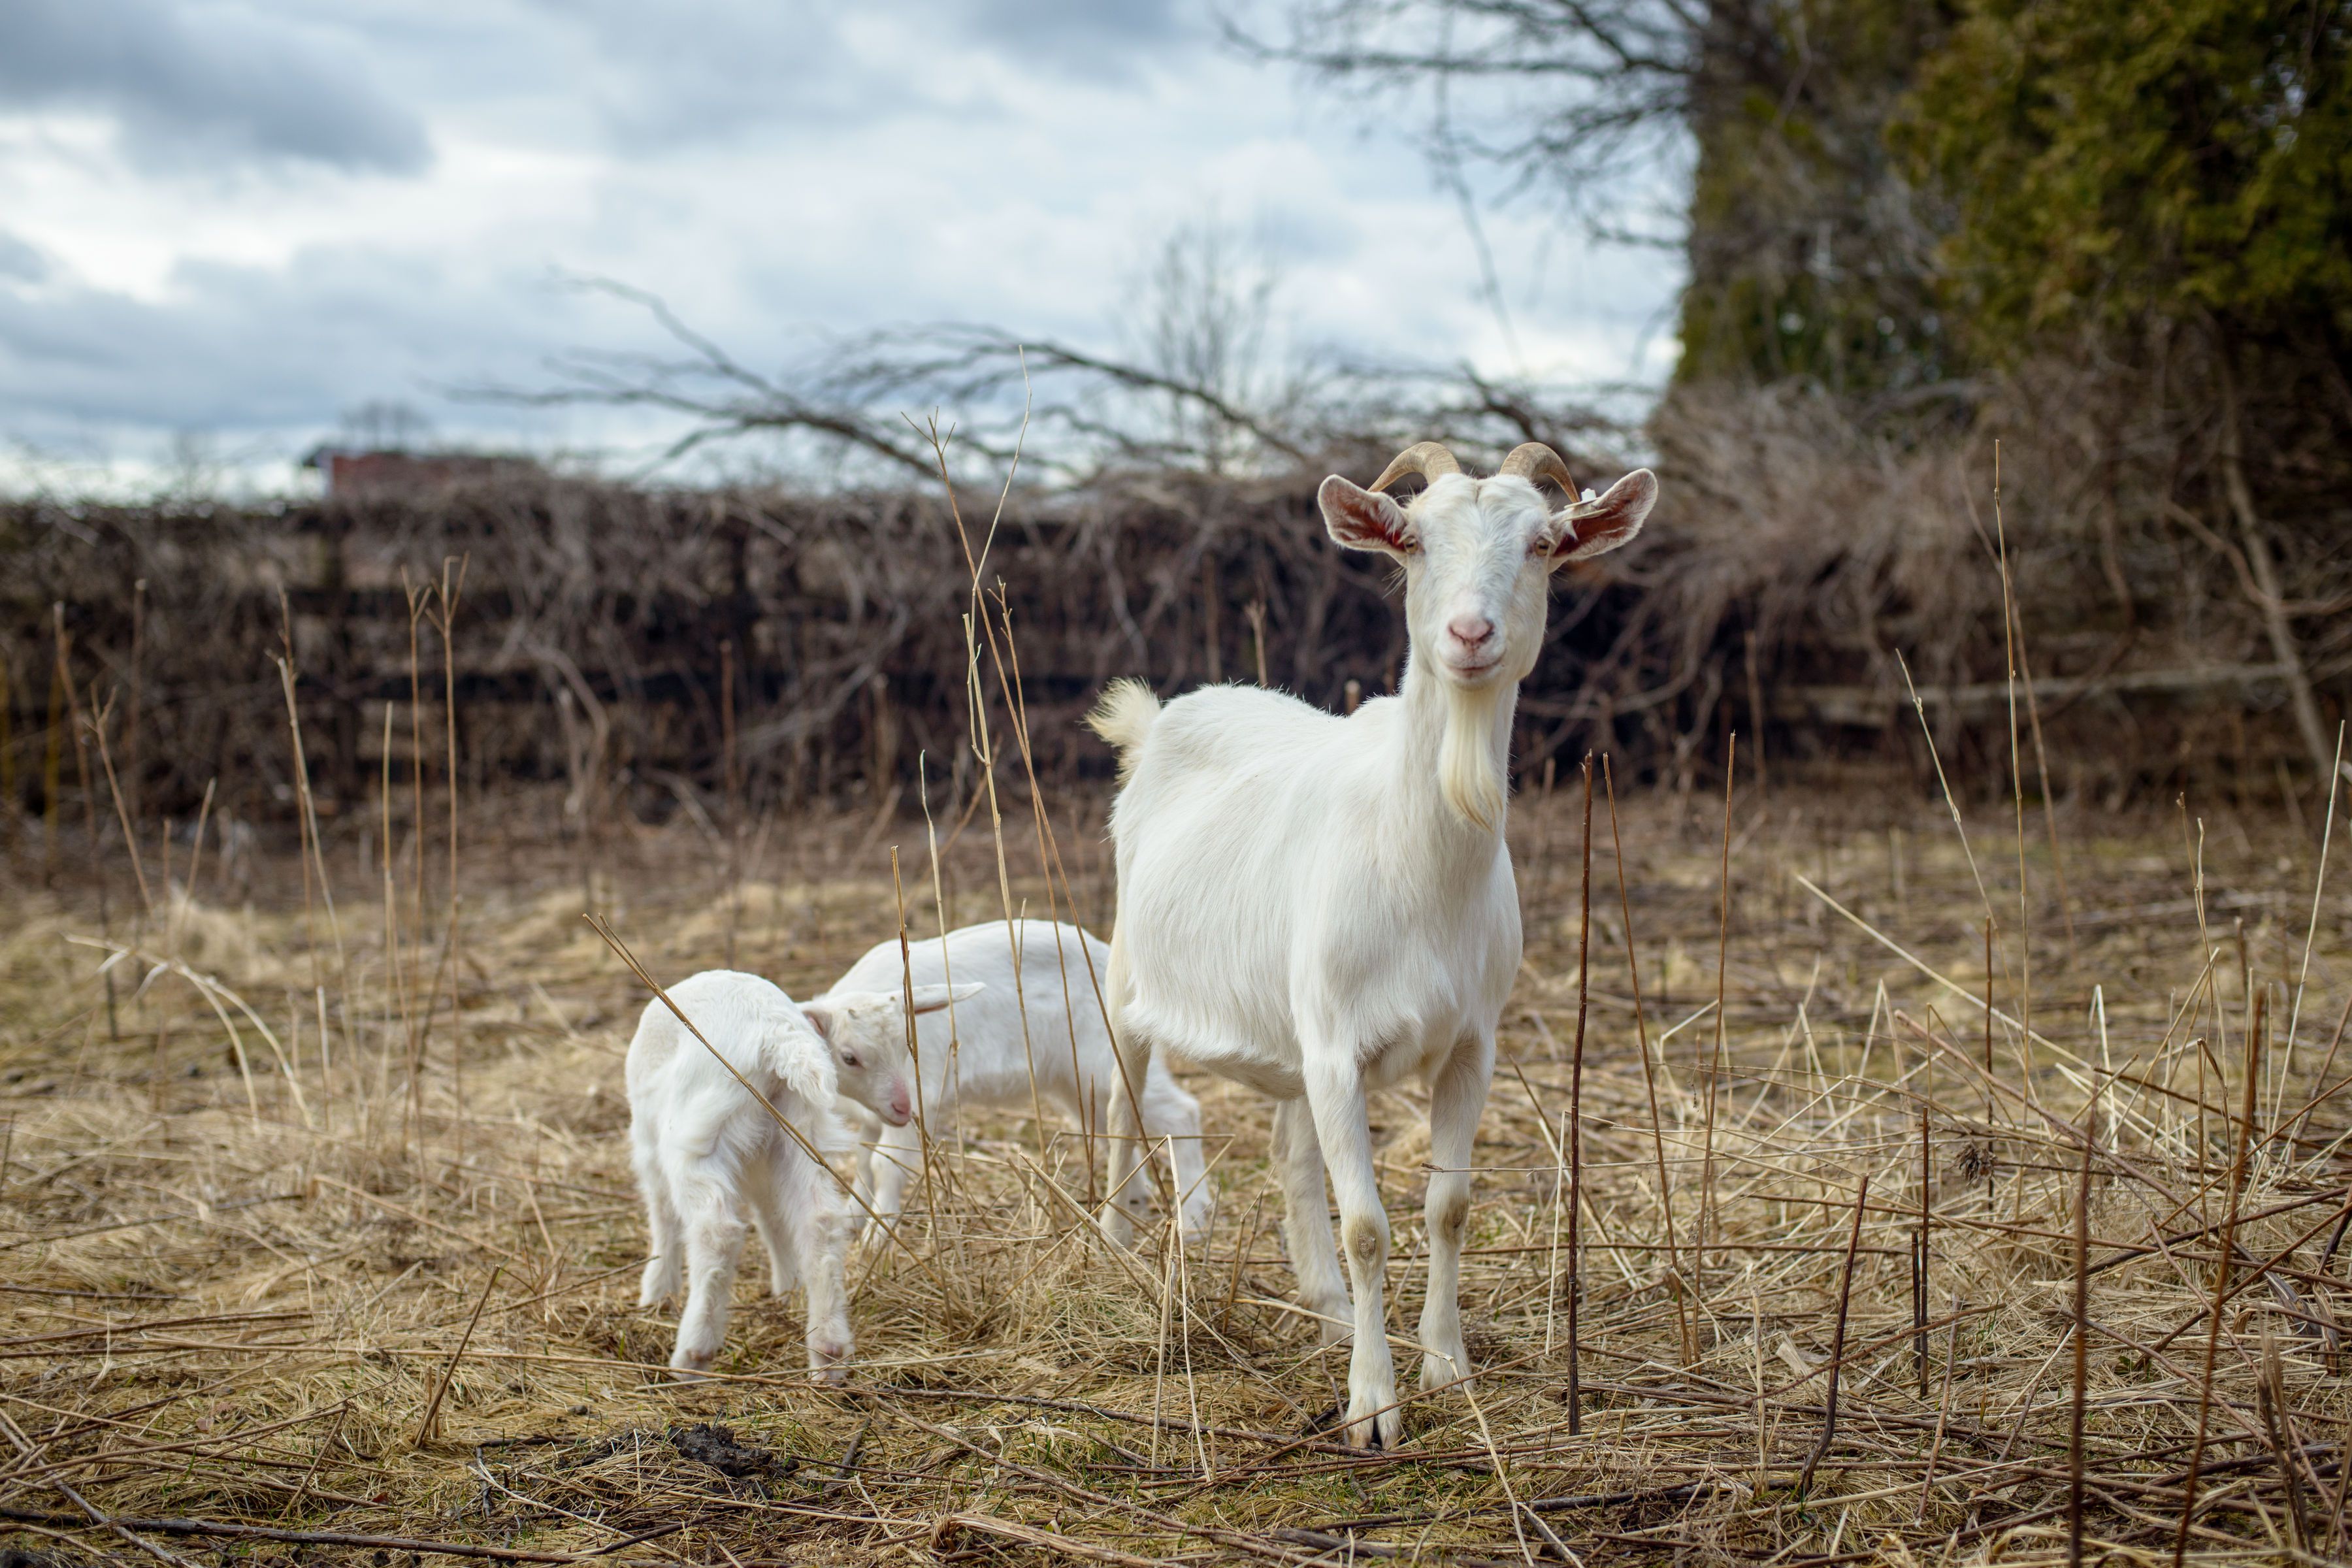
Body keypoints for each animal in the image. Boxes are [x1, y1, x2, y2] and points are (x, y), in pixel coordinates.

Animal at [625, 969, 976, 1377]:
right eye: (850, 1058)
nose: (903, 1108)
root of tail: (779, 1037)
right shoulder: (765, 1158)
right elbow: (773, 1218)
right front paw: (788, 1285)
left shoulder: (651, 1141)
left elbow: (663, 1214)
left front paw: (656, 1293)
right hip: (804, 1128)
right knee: (820, 1222)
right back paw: (829, 1352)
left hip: (698, 1133)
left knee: (717, 1231)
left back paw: (694, 1354)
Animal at [829, 920, 1214, 1242]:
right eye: (849, 1057)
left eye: (903, 1047)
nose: (898, 1101)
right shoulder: (874, 1115)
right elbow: (862, 1161)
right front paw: (851, 1218)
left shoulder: (916, 1104)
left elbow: (884, 1165)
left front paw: (876, 1238)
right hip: (1076, 1083)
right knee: (1114, 1125)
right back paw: (1131, 1203)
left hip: (1108, 1060)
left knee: (1182, 1112)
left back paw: (1195, 1220)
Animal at [1088, 441, 1656, 1446]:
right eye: (1414, 540)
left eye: (1544, 544)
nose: (1470, 633)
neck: (1419, 865)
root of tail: (1158, 722)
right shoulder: (1336, 1045)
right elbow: (1367, 1227)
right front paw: (1373, 1409)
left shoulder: (1471, 1046)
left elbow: (1448, 1207)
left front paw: (1446, 1368)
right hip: (1130, 970)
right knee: (1124, 1098)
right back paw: (1121, 1248)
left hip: (1293, 1033)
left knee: (1290, 1152)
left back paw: (1323, 1303)